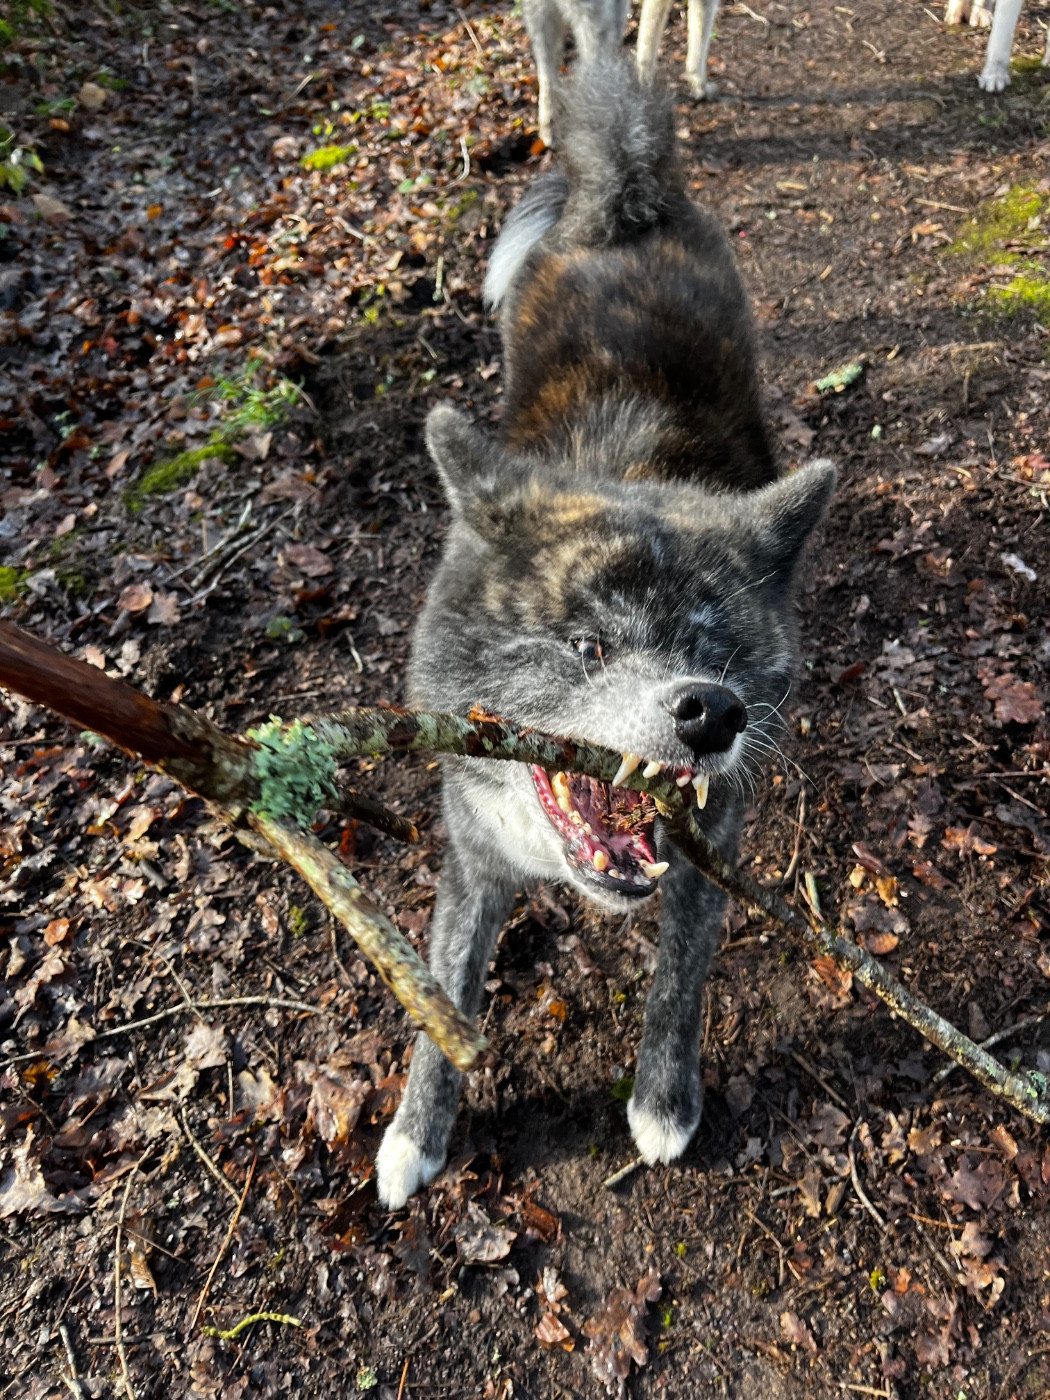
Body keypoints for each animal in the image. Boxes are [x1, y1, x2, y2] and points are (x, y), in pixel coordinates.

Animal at [375, 56, 835, 1210]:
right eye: (586, 646)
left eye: (717, 657)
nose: (711, 714)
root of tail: (626, 195)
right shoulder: (473, 854)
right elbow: (444, 1000)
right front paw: (415, 1131)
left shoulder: (711, 843)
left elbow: (678, 980)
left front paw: (664, 1101)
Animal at [524, 0, 721, 147]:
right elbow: (699, 44)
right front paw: (700, 86)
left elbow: (646, 46)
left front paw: (644, 87)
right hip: (604, 22)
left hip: (541, 18)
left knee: (547, 79)